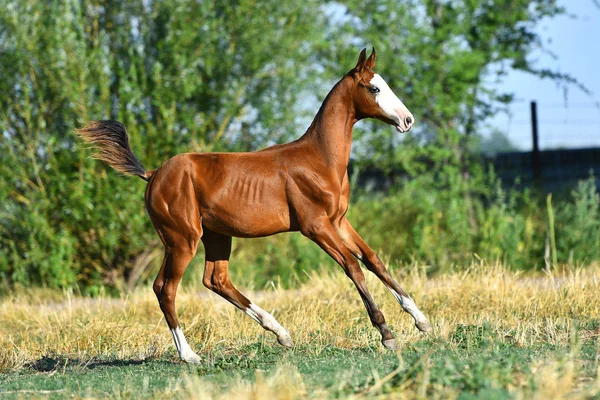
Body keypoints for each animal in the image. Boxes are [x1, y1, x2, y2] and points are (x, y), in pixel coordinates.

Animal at [78, 48, 432, 364]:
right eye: (374, 88)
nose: (408, 120)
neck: (320, 159)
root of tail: (153, 175)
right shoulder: (315, 226)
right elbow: (352, 267)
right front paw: (386, 333)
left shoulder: (339, 221)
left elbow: (373, 260)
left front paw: (421, 320)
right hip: (181, 239)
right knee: (165, 288)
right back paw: (189, 355)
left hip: (216, 236)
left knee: (216, 280)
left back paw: (280, 333)